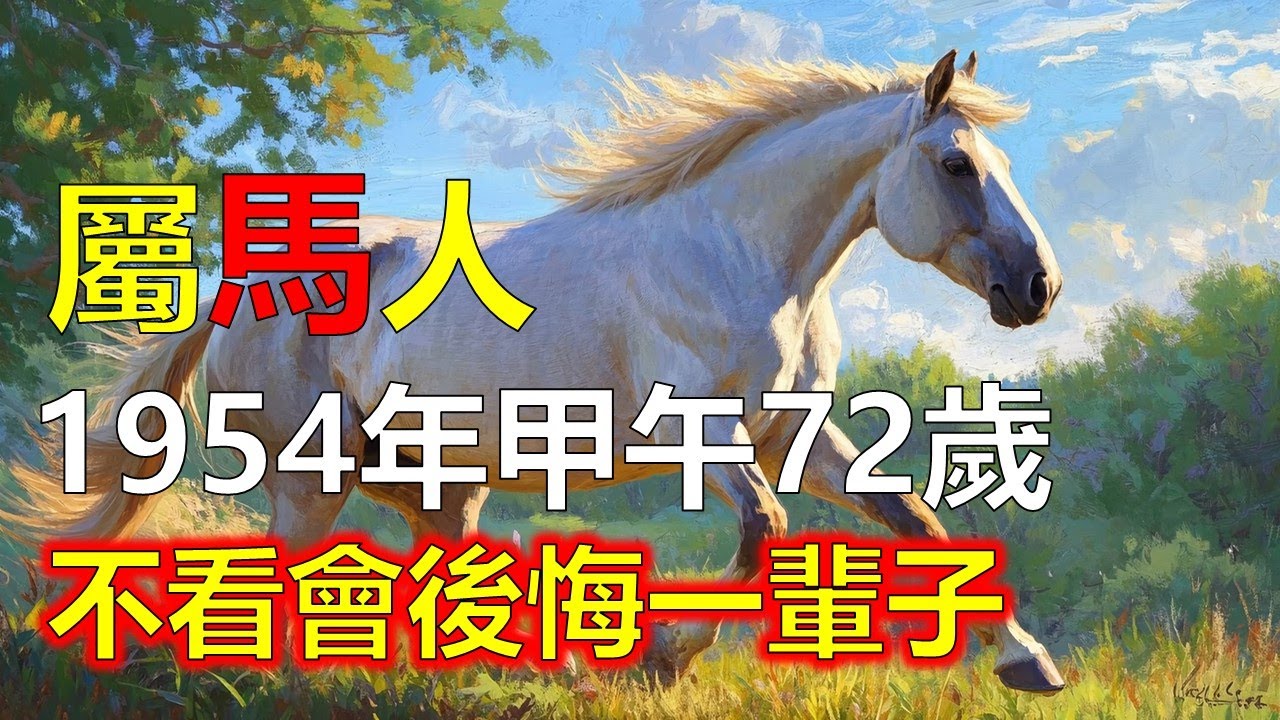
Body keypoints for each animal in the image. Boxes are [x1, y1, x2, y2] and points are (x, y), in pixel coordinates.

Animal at [12, 50, 1066, 692]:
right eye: (956, 165)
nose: (1039, 286)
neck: (741, 256)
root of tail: (238, 280)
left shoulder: (791, 436)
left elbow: (916, 522)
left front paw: (1026, 662)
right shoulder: (703, 438)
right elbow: (763, 532)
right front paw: (667, 655)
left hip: (432, 480)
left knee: (435, 569)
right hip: (314, 474)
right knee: (287, 572)